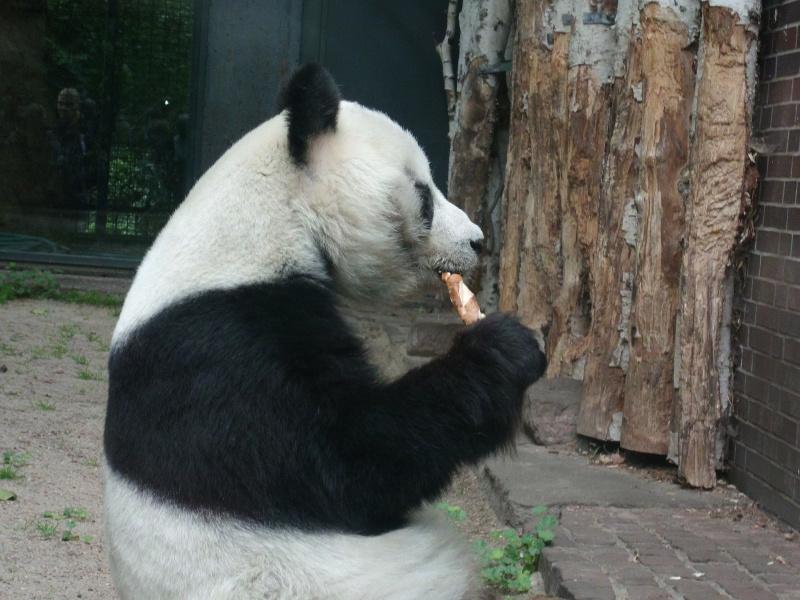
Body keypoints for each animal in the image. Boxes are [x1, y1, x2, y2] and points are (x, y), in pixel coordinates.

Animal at [103, 63, 548, 596]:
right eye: (423, 195)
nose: (477, 242)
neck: (267, 220)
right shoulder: (223, 350)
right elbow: (345, 466)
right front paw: (506, 348)